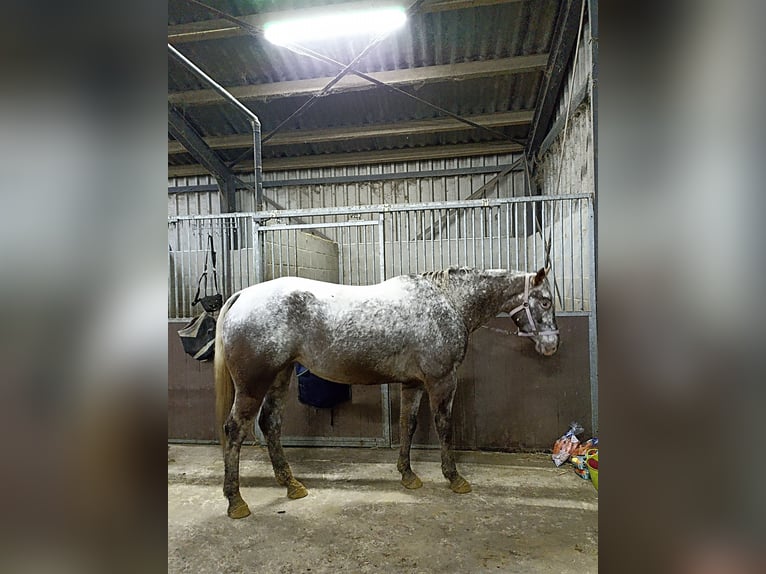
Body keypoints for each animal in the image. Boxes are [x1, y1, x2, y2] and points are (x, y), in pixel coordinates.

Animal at [214, 266, 559, 518]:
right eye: (545, 301)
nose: (552, 345)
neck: (448, 302)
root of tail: (242, 295)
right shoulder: (442, 380)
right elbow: (444, 427)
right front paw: (454, 478)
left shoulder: (414, 384)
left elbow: (408, 424)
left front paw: (408, 476)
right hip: (252, 385)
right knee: (234, 430)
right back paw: (236, 502)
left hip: (280, 376)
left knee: (270, 423)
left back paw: (291, 484)